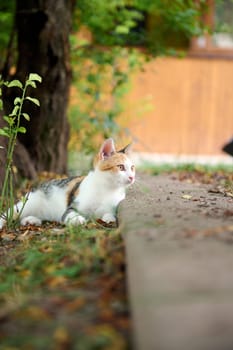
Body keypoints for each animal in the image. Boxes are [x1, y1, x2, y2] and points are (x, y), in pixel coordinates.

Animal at [0, 138, 135, 228]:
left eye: (132, 167)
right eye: (121, 167)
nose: (132, 177)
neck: (107, 189)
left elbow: (109, 214)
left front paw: (109, 219)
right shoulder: (72, 205)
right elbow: (70, 213)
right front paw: (78, 220)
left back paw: (31, 220)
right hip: (27, 203)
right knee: (9, 213)